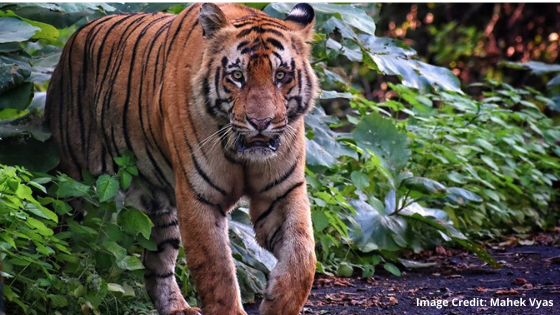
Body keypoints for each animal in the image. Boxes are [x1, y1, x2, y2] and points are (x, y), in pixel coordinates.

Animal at [45, 2, 320, 315]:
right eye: (238, 76)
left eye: (281, 76)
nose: (260, 123)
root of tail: (75, 36)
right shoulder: (198, 195)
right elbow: (216, 270)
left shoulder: (282, 192)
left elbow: (302, 255)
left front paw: (278, 301)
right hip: (73, 183)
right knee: (62, 234)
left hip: (159, 204)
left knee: (157, 265)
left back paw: (177, 307)